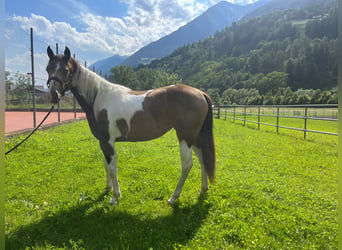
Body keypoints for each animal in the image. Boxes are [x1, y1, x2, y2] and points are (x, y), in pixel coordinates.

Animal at [46, 46, 214, 205]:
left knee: (187, 165)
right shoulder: (103, 142)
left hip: (185, 136)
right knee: (202, 159)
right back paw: (203, 189)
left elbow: (113, 168)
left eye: (65, 70)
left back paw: (173, 197)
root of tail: (200, 93)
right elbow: (106, 166)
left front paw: (115, 197)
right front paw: (107, 188)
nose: (53, 95)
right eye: (48, 68)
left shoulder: (108, 142)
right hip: (194, 137)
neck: (99, 97)